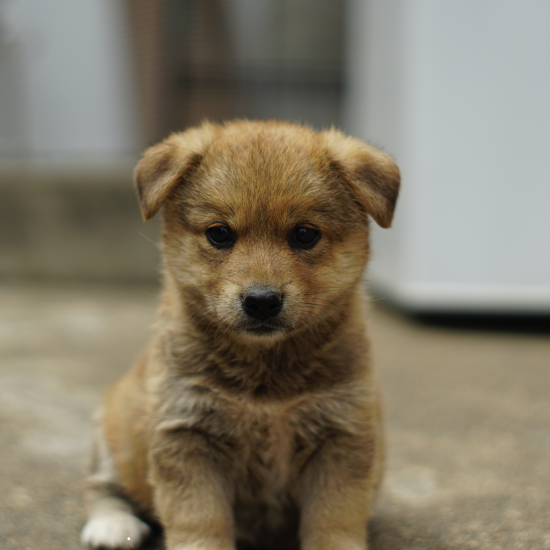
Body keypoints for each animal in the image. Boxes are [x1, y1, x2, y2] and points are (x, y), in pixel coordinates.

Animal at [81, 121, 402, 550]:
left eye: (304, 234)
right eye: (219, 234)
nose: (262, 301)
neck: (264, 377)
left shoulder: (341, 435)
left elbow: (333, 519)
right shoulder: (186, 434)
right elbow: (201, 521)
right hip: (114, 430)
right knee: (102, 486)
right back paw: (112, 526)